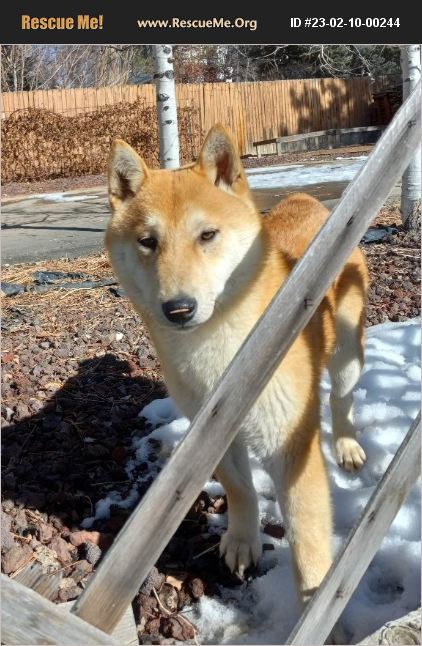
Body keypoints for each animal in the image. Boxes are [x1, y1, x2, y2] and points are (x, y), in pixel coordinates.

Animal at [106, 125, 370, 612]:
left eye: (207, 235)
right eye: (147, 241)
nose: (178, 309)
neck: (222, 357)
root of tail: (304, 201)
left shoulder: (291, 445)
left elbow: (308, 546)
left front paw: (316, 608)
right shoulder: (210, 433)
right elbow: (240, 489)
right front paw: (244, 539)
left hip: (347, 354)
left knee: (340, 399)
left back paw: (346, 446)